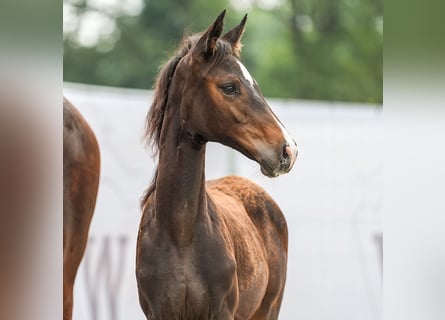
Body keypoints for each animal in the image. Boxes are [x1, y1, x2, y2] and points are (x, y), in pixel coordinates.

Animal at [134, 10, 294, 320]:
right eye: (229, 87)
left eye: (256, 85)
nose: (288, 149)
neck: (179, 234)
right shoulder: (157, 312)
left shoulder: (222, 312)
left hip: (269, 309)